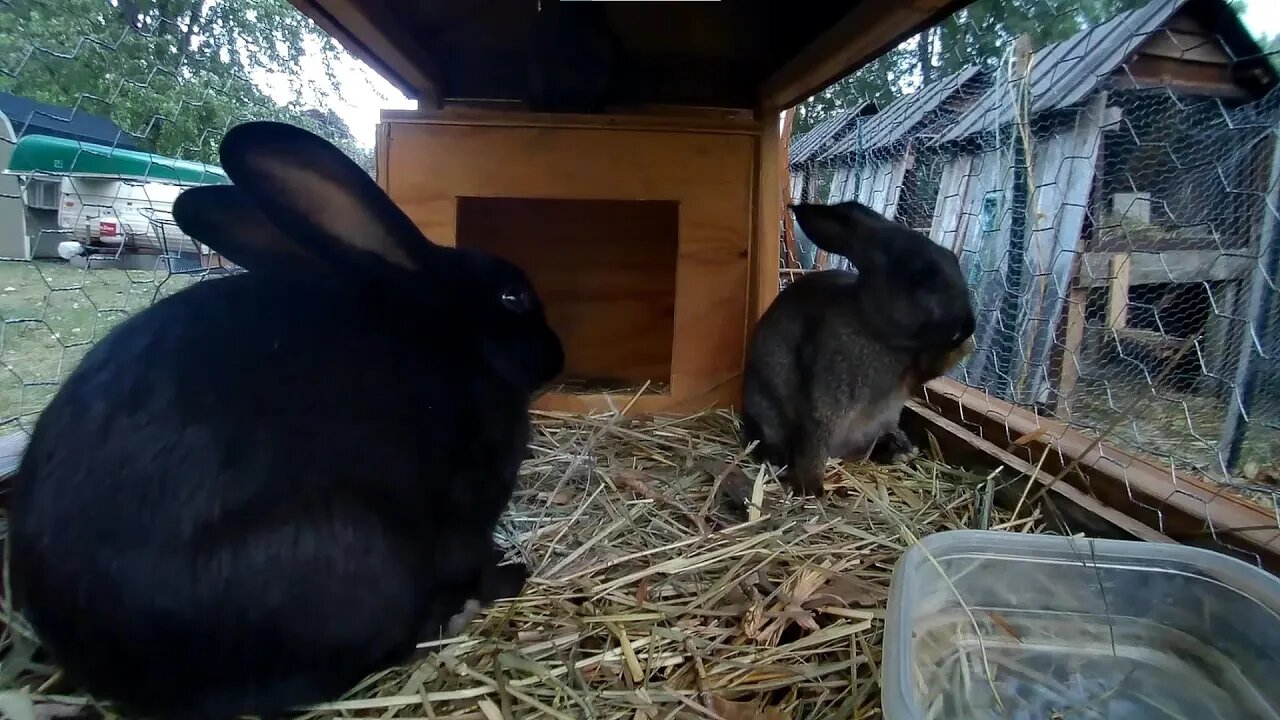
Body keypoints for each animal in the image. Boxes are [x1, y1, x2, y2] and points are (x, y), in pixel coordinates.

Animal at [6, 122, 565, 717]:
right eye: (512, 296)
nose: (558, 354)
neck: (453, 337)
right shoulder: (465, 509)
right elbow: (473, 557)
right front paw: (508, 575)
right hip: (356, 548)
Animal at [737, 202, 972, 491]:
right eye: (917, 277)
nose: (968, 326)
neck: (876, 330)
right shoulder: (826, 403)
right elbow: (814, 443)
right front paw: (811, 489)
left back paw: (901, 450)